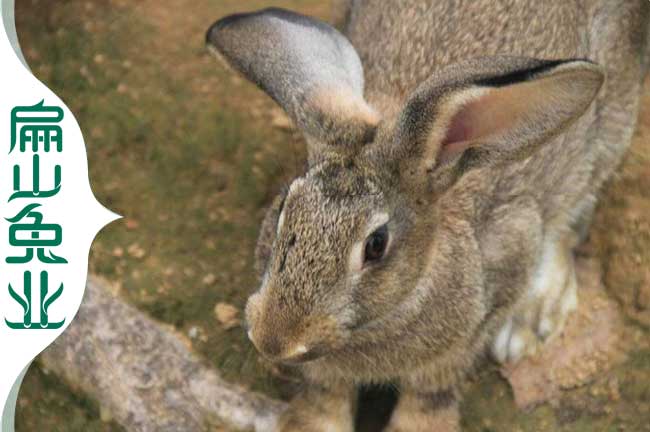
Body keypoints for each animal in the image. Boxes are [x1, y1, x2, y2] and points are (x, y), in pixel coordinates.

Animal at [206, 1, 648, 430]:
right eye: (284, 209)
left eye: (376, 245)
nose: (273, 340)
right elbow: (324, 393)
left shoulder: (484, 304)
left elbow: (431, 391)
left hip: (604, 133)